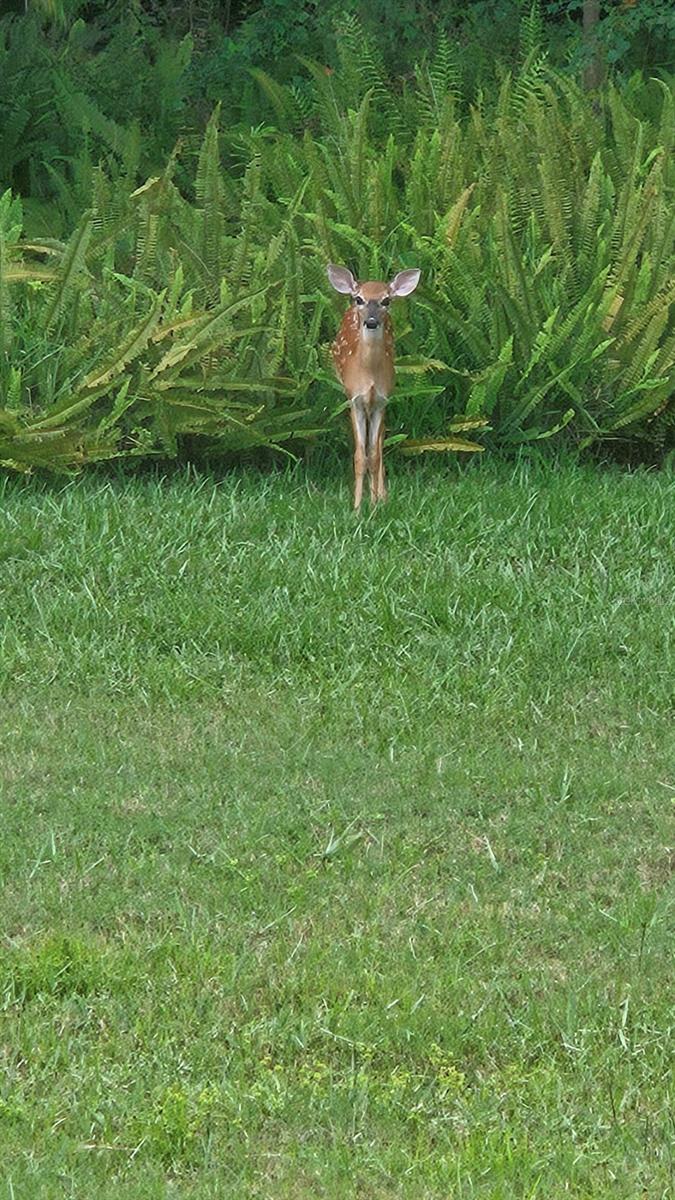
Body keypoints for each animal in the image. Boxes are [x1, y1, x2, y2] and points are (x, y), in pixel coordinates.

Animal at [326, 262, 420, 506]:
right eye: (359, 298)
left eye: (386, 300)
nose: (370, 321)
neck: (368, 375)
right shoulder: (355, 400)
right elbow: (361, 456)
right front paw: (358, 507)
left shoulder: (381, 401)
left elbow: (375, 454)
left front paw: (377, 504)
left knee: (377, 444)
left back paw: (381, 496)